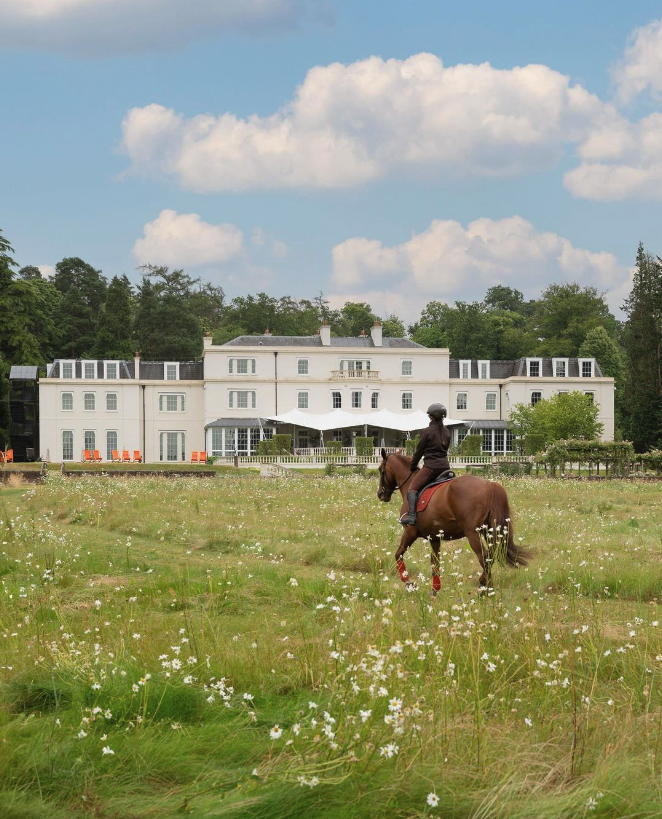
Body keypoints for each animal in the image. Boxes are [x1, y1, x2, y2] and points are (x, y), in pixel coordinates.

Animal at [378, 452, 528, 592]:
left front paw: (408, 581)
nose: (380, 494)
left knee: (484, 556)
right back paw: (484, 583)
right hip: (489, 531)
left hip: (472, 533)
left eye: (381, 470)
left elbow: (398, 554)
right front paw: (435, 589)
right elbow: (435, 563)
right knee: (491, 555)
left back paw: (486, 589)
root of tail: (489, 485)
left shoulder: (410, 532)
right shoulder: (434, 537)